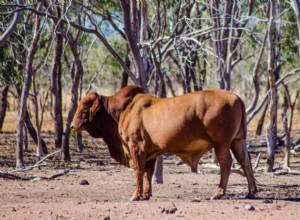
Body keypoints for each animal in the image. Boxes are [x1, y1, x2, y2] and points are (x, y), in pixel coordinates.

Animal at [71, 85, 258, 201]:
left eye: (85, 107)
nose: (72, 126)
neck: (123, 109)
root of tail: (236, 97)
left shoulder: (136, 147)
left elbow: (139, 171)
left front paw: (136, 195)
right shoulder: (150, 152)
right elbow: (148, 172)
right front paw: (146, 194)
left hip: (221, 143)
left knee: (226, 163)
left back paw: (218, 193)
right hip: (238, 141)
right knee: (245, 162)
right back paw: (251, 192)